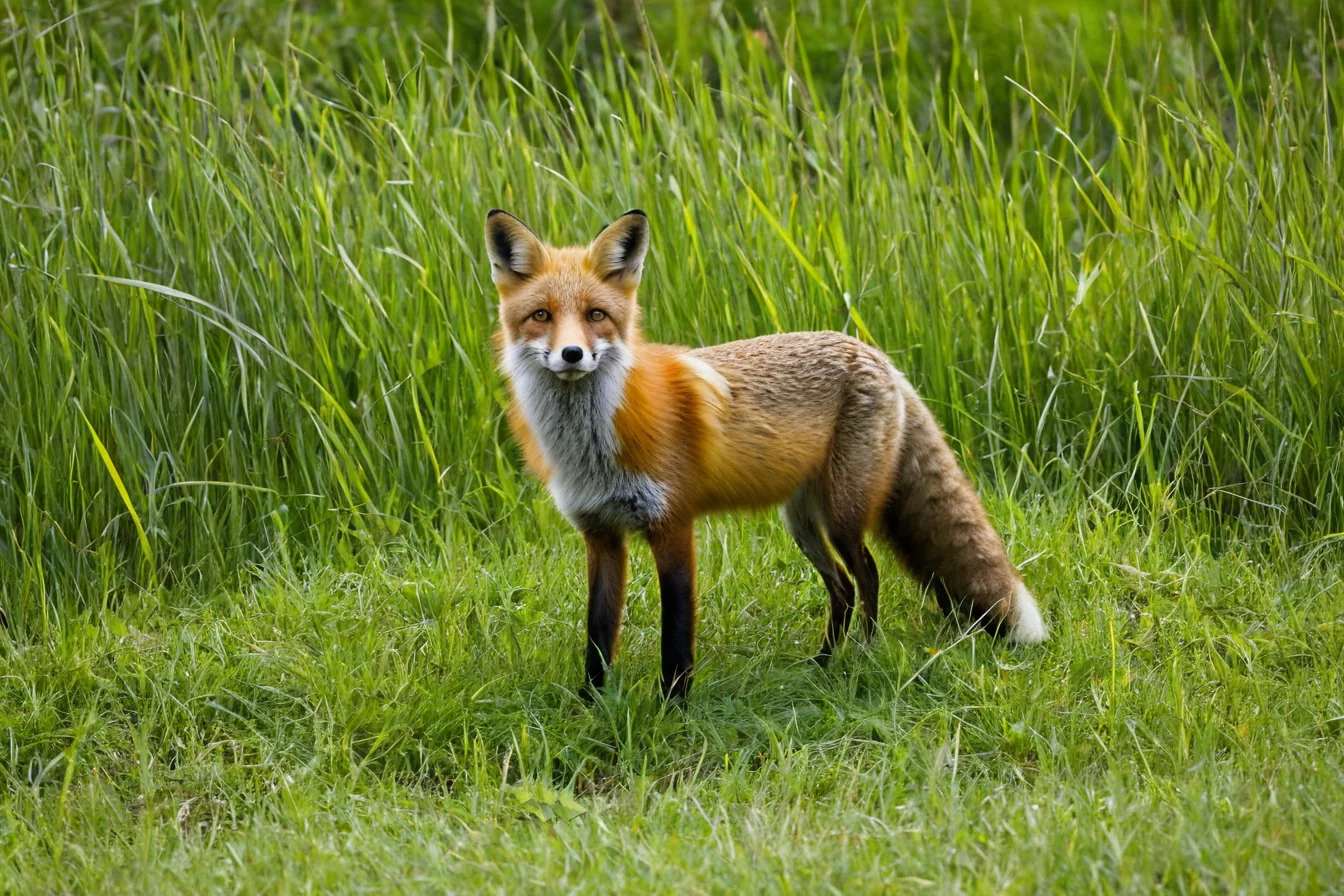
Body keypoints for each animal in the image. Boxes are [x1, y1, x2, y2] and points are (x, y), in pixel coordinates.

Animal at [486, 208, 1047, 700]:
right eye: (541, 316)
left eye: (596, 315)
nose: (572, 354)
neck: (595, 446)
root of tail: (874, 352)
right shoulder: (600, 535)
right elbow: (598, 636)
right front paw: (590, 707)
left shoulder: (673, 525)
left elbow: (677, 638)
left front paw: (672, 710)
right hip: (802, 522)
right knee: (842, 589)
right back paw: (822, 666)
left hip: (842, 514)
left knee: (867, 575)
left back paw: (865, 655)